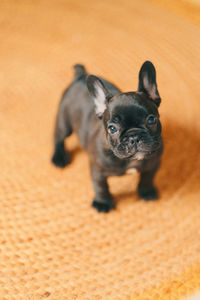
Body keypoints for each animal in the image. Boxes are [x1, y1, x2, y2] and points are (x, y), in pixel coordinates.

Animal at [51, 61, 162, 212]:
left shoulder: (154, 163)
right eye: (112, 128)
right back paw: (59, 158)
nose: (133, 137)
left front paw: (146, 191)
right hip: (64, 121)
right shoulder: (98, 170)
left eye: (151, 120)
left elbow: (147, 177)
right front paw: (102, 202)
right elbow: (100, 186)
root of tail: (80, 76)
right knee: (58, 138)